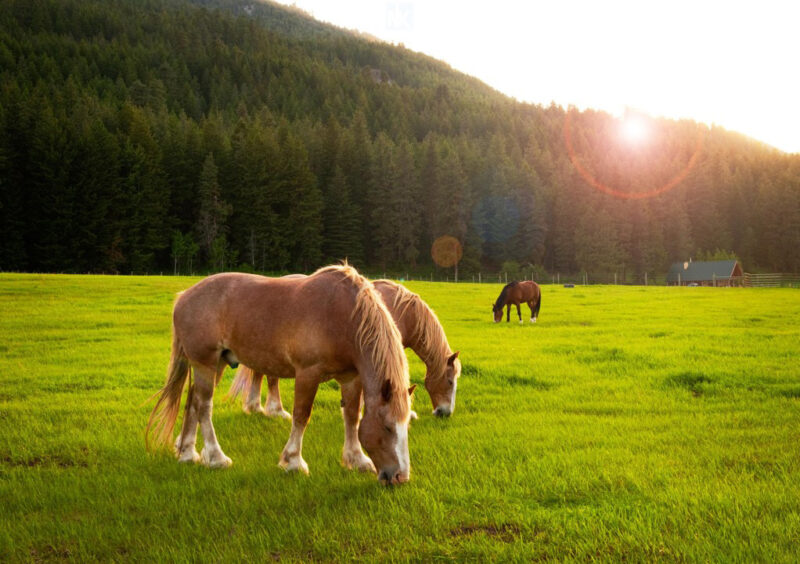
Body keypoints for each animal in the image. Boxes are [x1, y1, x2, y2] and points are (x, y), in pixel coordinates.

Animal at [146, 264, 416, 484]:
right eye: (388, 427)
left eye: (405, 426)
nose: (400, 477)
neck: (344, 318)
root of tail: (183, 297)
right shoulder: (308, 374)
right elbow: (301, 416)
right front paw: (294, 461)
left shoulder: (351, 378)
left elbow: (352, 417)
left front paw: (357, 460)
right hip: (205, 363)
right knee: (204, 406)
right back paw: (216, 457)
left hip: (216, 364)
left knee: (192, 402)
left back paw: (187, 453)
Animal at [228, 278, 460, 418]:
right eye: (449, 381)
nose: (445, 413)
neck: (402, 311)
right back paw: (273, 410)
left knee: (260, 372)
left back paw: (256, 407)